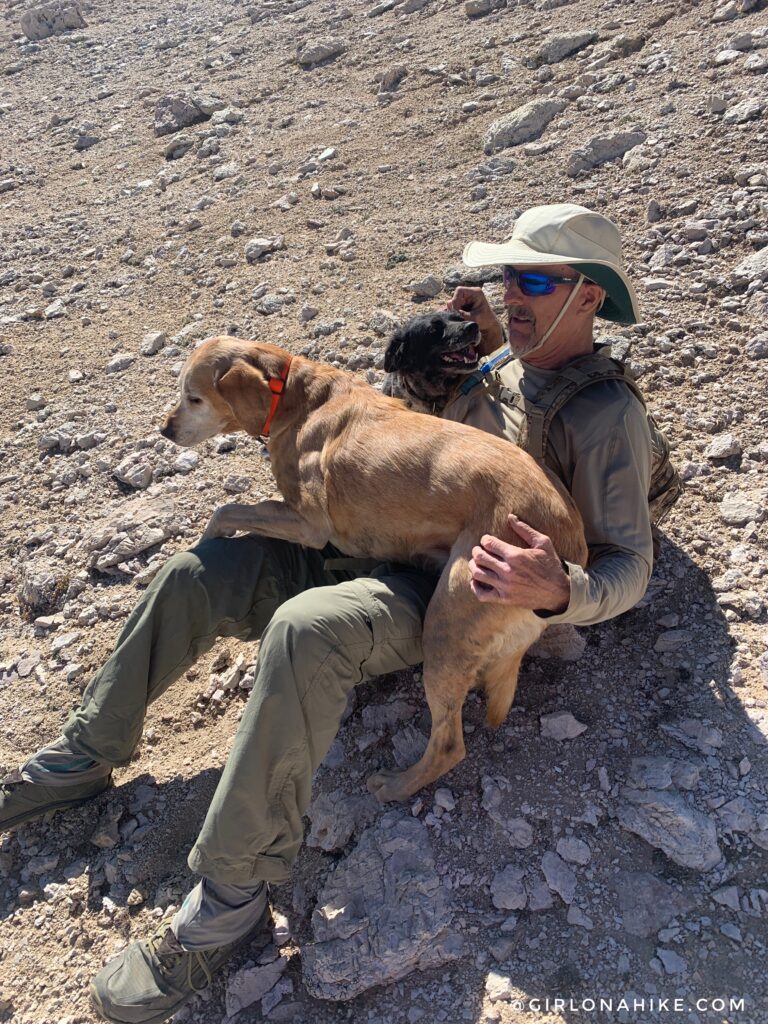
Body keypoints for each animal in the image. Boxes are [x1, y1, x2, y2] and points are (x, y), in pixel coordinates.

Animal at [159, 339, 585, 802]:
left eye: (193, 397)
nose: (165, 430)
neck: (294, 395)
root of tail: (570, 547)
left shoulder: (308, 523)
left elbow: (226, 509)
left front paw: (203, 540)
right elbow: (231, 509)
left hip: (447, 621)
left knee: (449, 745)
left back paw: (396, 785)